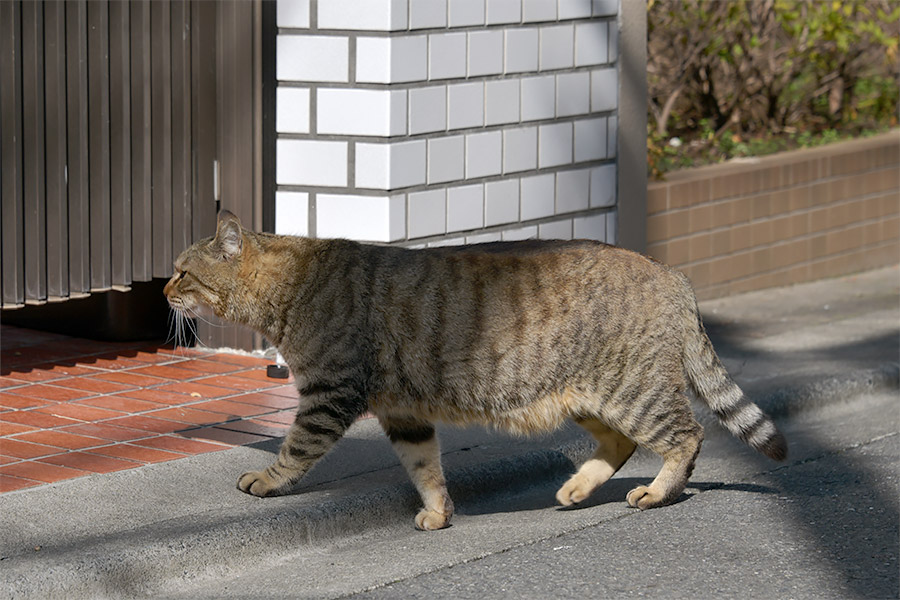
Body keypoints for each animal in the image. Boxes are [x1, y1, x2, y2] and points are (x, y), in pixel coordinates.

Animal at [167, 211, 788, 528]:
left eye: (182, 272)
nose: (162, 291)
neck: (292, 287)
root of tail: (673, 274)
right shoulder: (403, 411)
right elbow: (426, 468)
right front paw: (439, 512)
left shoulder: (328, 394)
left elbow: (295, 449)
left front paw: (267, 480)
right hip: (586, 396)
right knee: (623, 443)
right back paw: (575, 489)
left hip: (631, 391)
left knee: (686, 435)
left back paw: (657, 493)